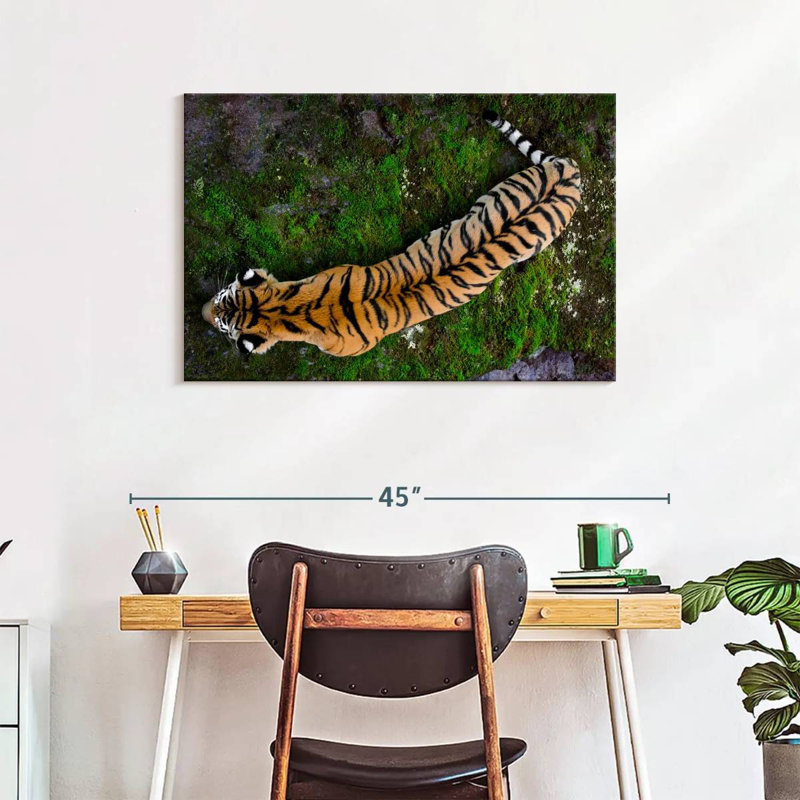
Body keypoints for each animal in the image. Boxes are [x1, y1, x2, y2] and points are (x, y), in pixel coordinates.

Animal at [201, 110, 582, 357]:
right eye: (220, 299)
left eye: (221, 324)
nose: (200, 310)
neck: (285, 308)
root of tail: (570, 169)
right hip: (494, 194)